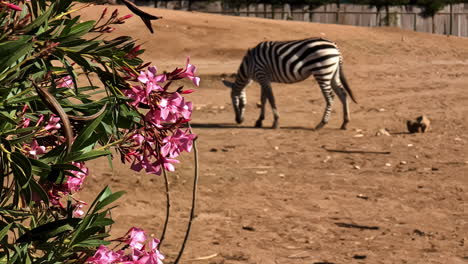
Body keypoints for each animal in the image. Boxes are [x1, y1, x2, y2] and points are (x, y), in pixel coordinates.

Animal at [221, 37, 356, 130]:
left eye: (233, 102)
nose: (238, 121)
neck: (249, 65)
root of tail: (334, 46)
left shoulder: (262, 75)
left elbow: (271, 99)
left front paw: (275, 122)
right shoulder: (263, 79)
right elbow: (263, 99)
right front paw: (259, 121)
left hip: (322, 72)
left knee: (330, 97)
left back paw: (322, 123)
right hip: (333, 73)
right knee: (343, 94)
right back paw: (345, 122)